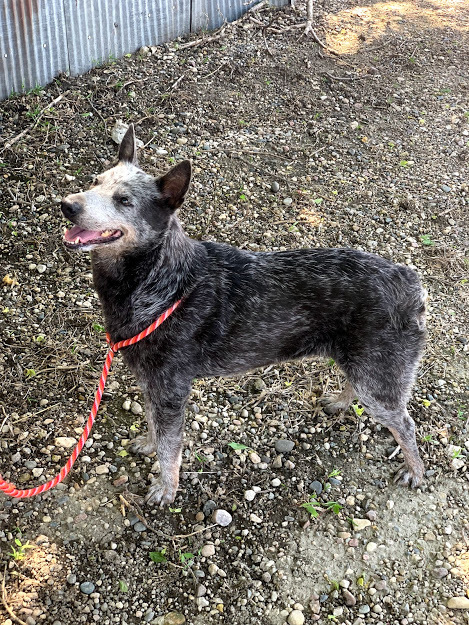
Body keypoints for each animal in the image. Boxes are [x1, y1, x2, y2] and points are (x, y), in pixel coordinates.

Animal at [60, 124, 426, 504]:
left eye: (124, 201)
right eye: (95, 180)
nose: (67, 205)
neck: (164, 282)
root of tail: (409, 281)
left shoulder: (171, 388)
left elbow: (170, 447)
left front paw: (167, 488)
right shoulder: (151, 382)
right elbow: (152, 424)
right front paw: (148, 443)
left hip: (379, 373)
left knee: (405, 424)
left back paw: (415, 470)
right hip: (362, 363)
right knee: (358, 386)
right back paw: (340, 402)